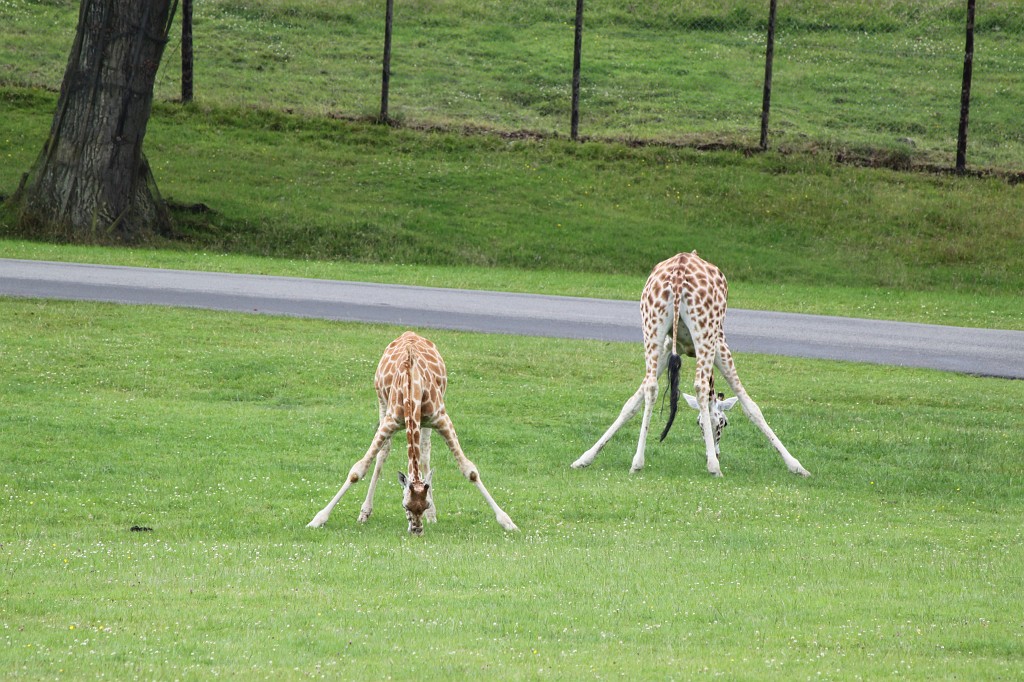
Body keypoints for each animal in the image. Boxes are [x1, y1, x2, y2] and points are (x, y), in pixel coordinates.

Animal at [307, 331, 518, 534]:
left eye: (425, 505)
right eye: (405, 506)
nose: (417, 530)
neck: (412, 387)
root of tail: (409, 333)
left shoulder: (441, 418)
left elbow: (470, 471)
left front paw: (508, 522)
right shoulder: (390, 421)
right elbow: (357, 471)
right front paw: (317, 519)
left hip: (425, 421)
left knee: (424, 452)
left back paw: (433, 517)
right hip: (382, 403)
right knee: (384, 452)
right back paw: (364, 513)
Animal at [571, 252, 810, 478]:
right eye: (723, 423)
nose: (716, 452)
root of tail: (678, 277)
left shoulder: (669, 345)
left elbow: (632, 402)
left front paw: (585, 458)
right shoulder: (720, 343)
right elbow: (751, 406)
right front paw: (797, 466)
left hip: (652, 327)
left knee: (651, 387)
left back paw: (637, 462)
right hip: (705, 330)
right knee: (700, 386)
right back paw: (714, 468)